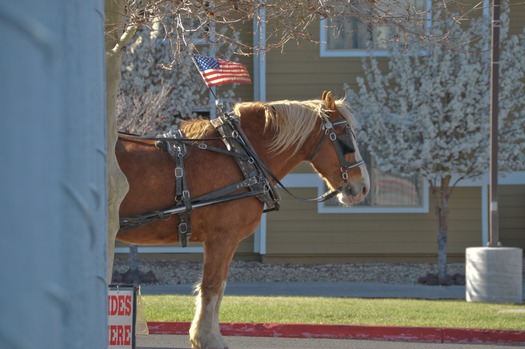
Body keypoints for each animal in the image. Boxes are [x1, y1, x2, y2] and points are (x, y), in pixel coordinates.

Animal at [114, 92, 368, 348]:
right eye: (345, 136)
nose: (363, 186)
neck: (242, 157)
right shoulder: (222, 237)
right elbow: (212, 285)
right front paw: (207, 338)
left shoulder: (227, 240)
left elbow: (220, 286)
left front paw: (209, 335)